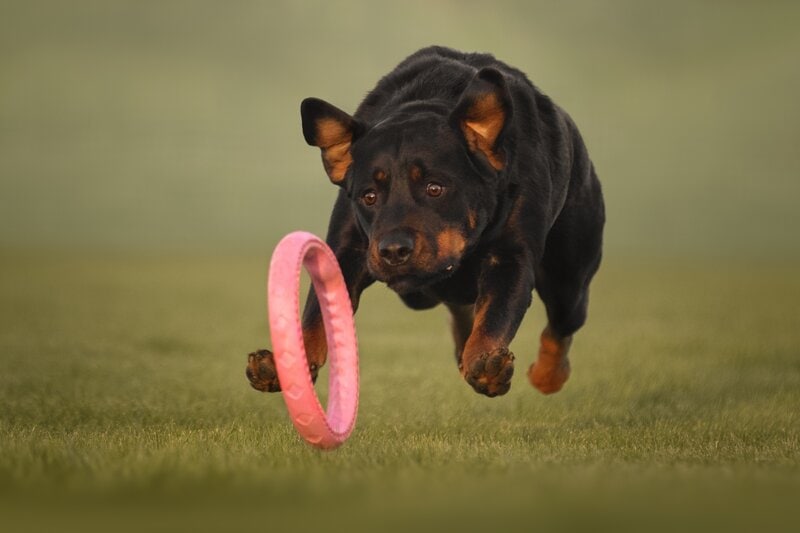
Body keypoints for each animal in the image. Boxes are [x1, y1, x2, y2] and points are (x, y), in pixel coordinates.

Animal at [247, 44, 604, 394]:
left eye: (435, 188)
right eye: (369, 196)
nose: (393, 250)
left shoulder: (510, 256)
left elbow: (497, 313)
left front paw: (486, 366)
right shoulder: (346, 250)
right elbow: (316, 313)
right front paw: (283, 366)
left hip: (569, 276)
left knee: (561, 325)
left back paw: (547, 376)